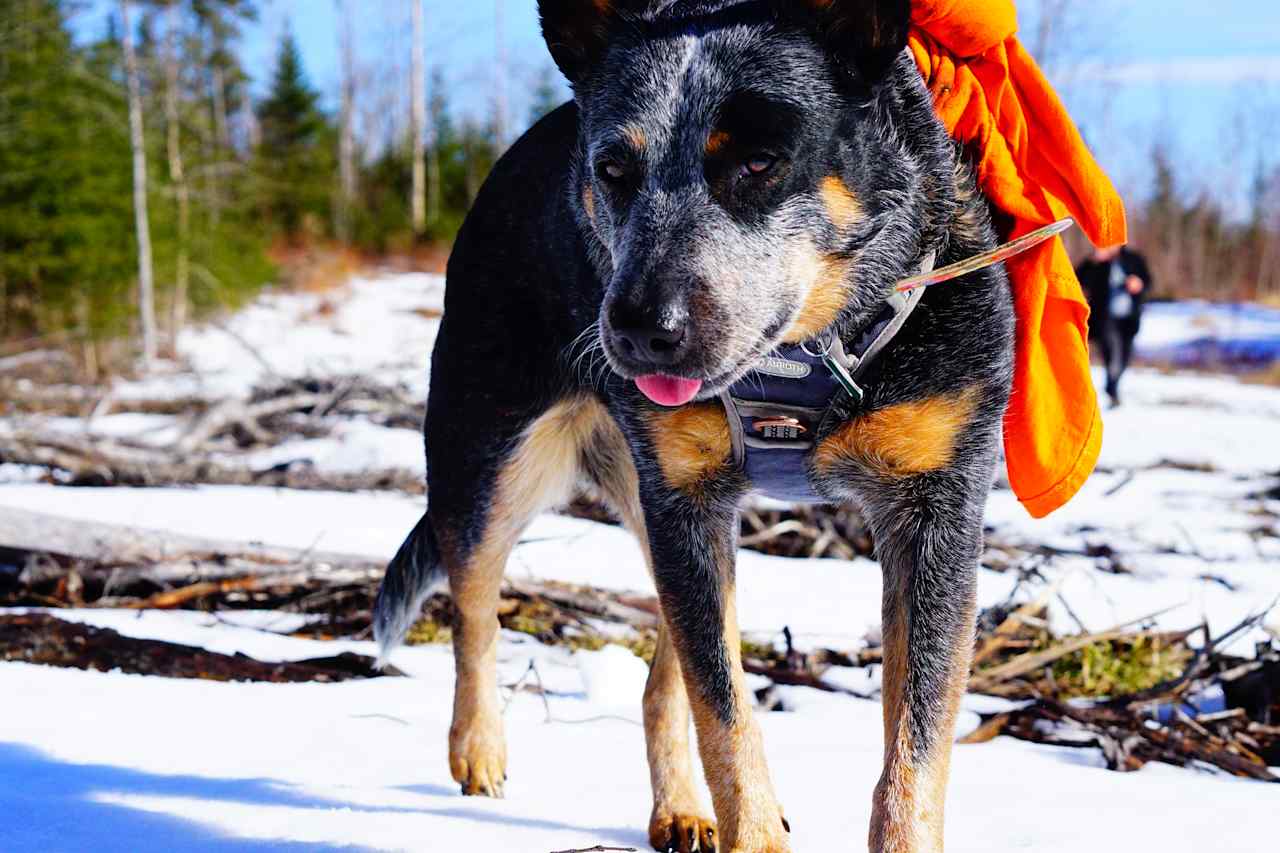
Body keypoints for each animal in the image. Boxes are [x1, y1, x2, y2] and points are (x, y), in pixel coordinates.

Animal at [371, 3, 1008, 845]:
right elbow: (725, 715)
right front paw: (756, 835)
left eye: (760, 162)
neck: (803, 360)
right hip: (492, 460)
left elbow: (917, 739)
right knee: (475, 605)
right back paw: (478, 745)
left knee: (663, 675)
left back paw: (677, 804)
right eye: (612, 170)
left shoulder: (937, 506)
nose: (639, 328)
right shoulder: (685, 499)